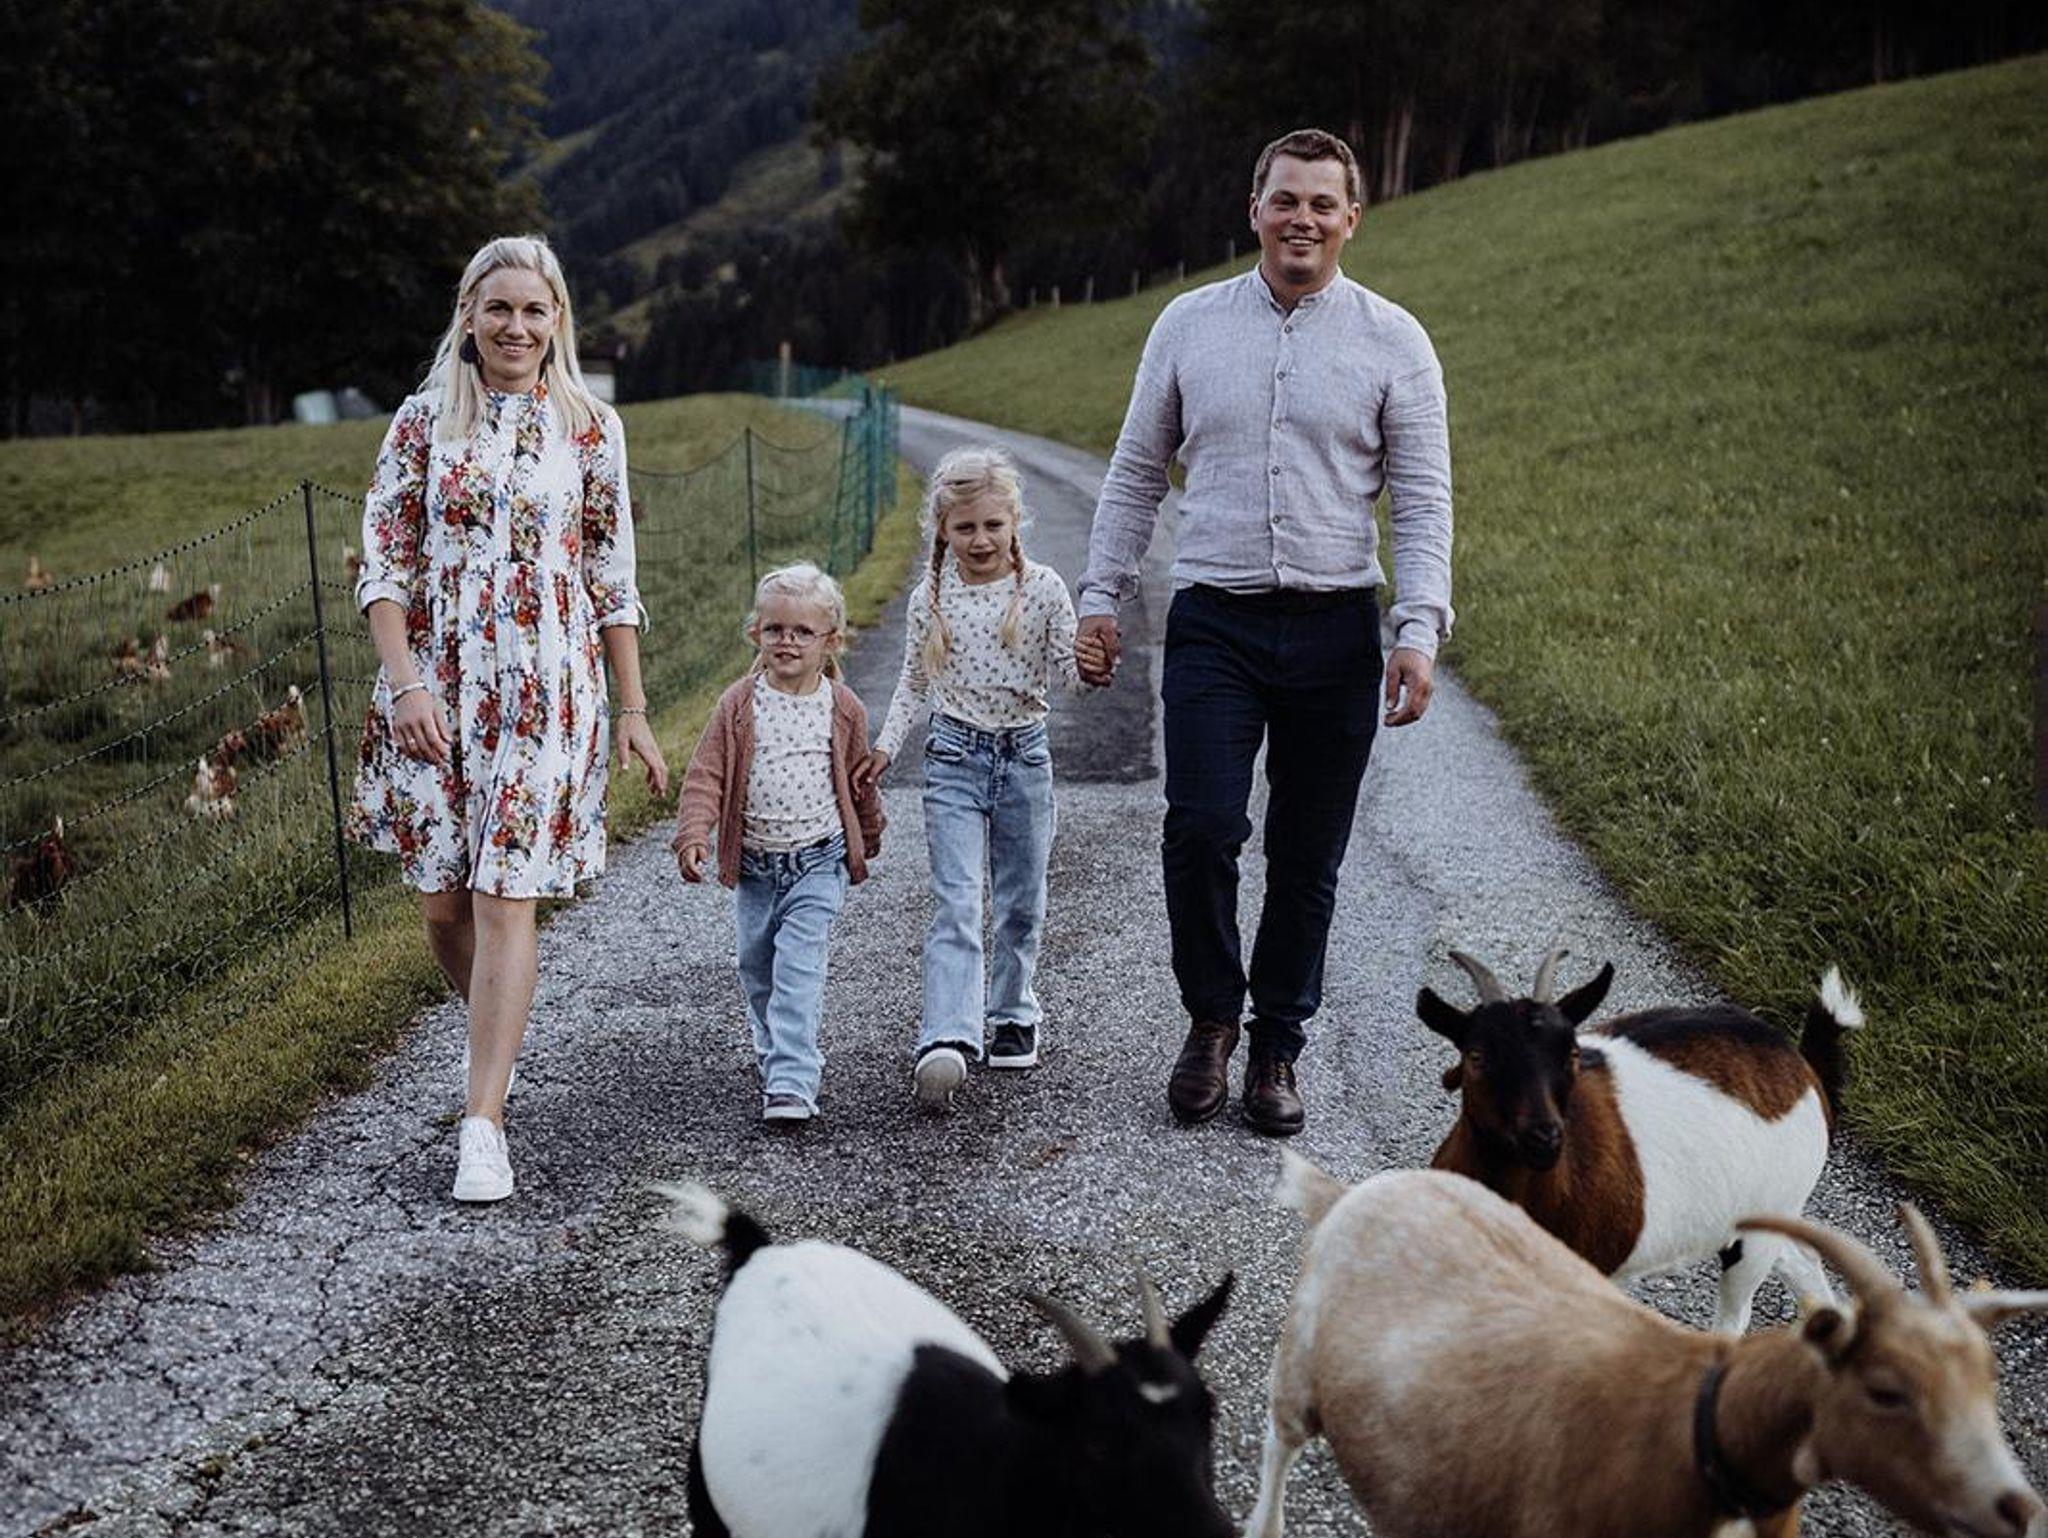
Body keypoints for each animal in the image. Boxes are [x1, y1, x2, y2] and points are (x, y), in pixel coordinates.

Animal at [1249, 1155, 2047, 1538]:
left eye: (1989, 1383)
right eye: (1886, 1390)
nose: (2018, 1511)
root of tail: (1354, 1194)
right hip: (1300, 1370)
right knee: (1279, 1441)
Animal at [1419, 948, 1860, 1332]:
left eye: (1572, 1054)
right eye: (1476, 1056)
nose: (1545, 1137)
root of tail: (1802, 1068)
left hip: (1763, 1223)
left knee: (1736, 1314)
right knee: (1803, 1258)